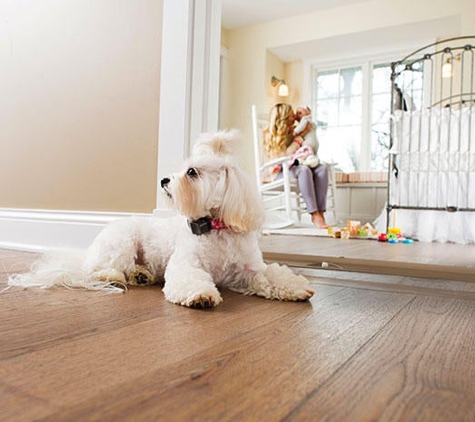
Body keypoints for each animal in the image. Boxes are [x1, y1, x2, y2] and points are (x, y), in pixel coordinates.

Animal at [9, 130, 314, 308]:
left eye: (191, 172)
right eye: (182, 169)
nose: (164, 180)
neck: (214, 226)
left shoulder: (249, 270)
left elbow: (272, 275)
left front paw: (297, 287)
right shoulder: (186, 264)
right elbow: (189, 278)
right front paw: (201, 295)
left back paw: (141, 275)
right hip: (121, 243)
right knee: (99, 269)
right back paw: (114, 275)